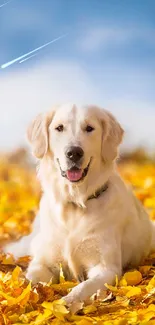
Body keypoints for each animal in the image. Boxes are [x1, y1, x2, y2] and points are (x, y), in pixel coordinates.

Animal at [3, 103, 155, 306]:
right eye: (59, 128)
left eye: (89, 128)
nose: (74, 153)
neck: (75, 203)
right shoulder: (44, 263)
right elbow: (29, 279)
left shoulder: (106, 268)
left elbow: (83, 287)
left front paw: (66, 304)